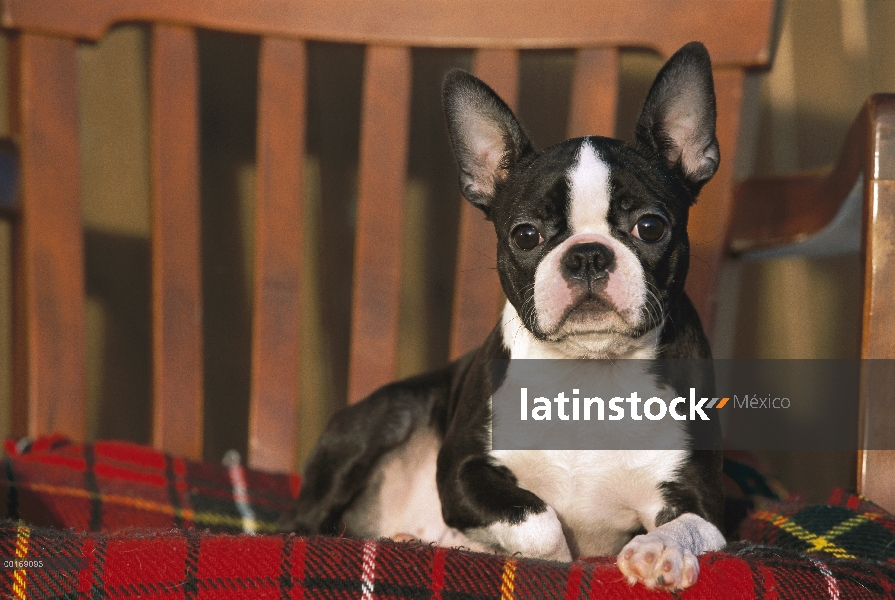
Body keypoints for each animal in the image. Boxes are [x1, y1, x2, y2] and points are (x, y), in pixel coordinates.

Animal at [282, 41, 728, 592]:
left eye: (651, 226)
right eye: (525, 234)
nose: (587, 256)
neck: (590, 373)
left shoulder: (705, 500)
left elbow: (688, 523)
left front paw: (660, 550)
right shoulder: (463, 473)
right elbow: (538, 521)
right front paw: (545, 558)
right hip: (388, 414)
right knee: (304, 523)